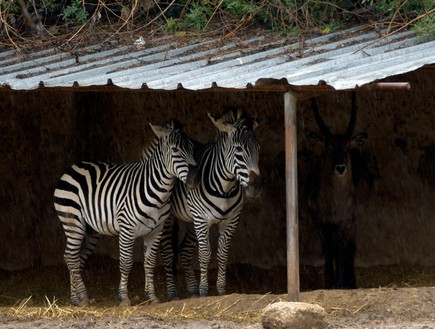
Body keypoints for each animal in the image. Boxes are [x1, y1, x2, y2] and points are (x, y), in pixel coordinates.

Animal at [53, 120, 201, 304]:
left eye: (192, 148)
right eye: (175, 150)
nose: (195, 180)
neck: (157, 191)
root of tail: (73, 167)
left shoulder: (156, 231)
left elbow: (150, 263)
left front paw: (152, 297)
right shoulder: (127, 229)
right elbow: (126, 263)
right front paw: (124, 298)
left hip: (90, 229)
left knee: (74, 258)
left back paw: (75, 299)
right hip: (73, 222)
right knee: (71, 257)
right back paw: (84, 297)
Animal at [160, 107, 262, 298]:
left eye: (258, 148)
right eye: (238, 149)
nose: (256, 187)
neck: (225, 187)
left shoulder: (231, 221)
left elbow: (222, 254)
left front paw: (221, 290)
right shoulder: (202, 219)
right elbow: (205, 254)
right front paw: (204, 290)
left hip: (190, 218)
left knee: (185, 250)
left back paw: (192, 290)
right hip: (168, 217)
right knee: (167, 251)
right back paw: (172, 292)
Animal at [306, 91, 368, 288]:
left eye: (347, 146)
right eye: (329, 146)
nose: (340, 168)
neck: (333, 204)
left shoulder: (345, 222)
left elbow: (341, 252)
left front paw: (340, 284)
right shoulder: (321, 223)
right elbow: (328, 252)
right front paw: (328, 284)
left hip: (355, 223)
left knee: (350, 249)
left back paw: (351, 283)